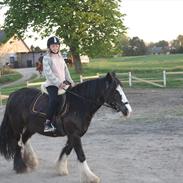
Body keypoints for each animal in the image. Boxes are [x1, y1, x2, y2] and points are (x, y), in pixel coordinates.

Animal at [0, 72, 132, 183]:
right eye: (114, 91)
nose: (128, 110)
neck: (78, 105)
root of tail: (14, 94)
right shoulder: (74, 134)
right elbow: (81, 155)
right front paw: (90, 177)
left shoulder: (74, 135)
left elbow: (67, 149)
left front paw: (60, 168)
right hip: (17, 127)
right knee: (17, 144)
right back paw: (21, 167)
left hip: (32, 127)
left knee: (25, 139)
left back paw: (31, 161)